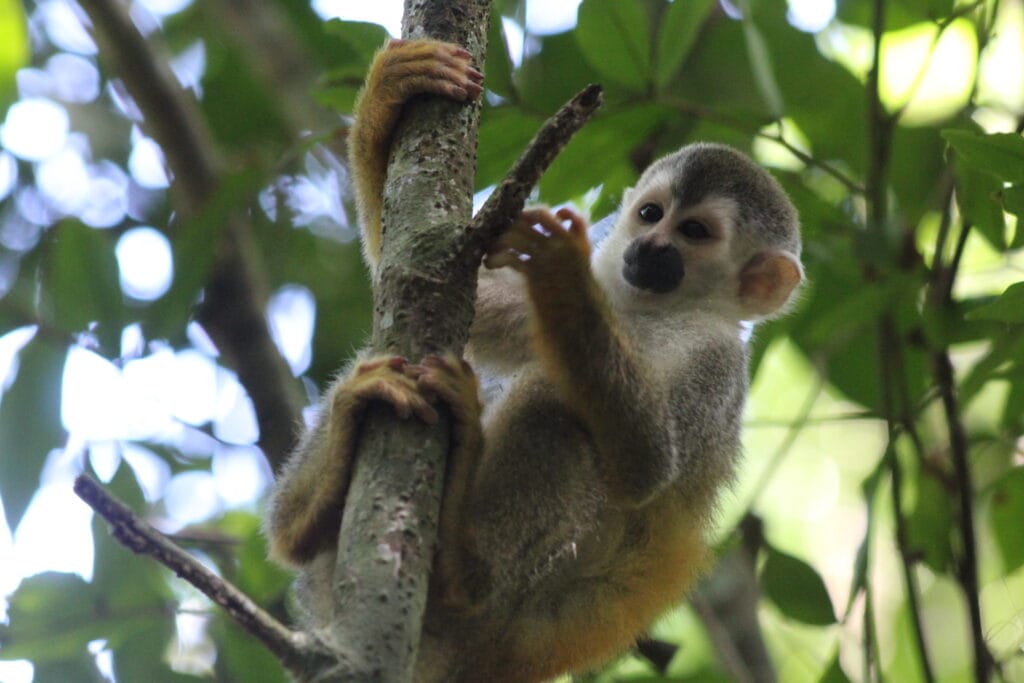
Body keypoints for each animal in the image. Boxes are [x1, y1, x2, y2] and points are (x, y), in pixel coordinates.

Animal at [264, 38, 803, 683]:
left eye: (695, 231)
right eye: (652, 214)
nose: (650, 247)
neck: (652, 310)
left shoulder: (718, 364)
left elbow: (648, 463)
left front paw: (559, 268)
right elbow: (427, 273)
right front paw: (388, 92)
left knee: (553, 404)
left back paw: (464, 566)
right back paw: (305, 514)